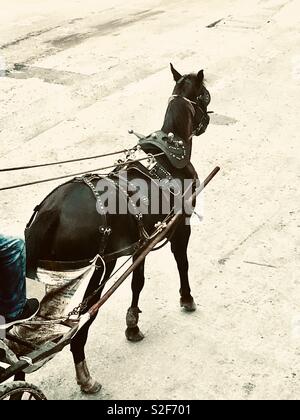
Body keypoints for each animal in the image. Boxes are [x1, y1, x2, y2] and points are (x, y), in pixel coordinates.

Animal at [24, 64, 211, 392]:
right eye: (205, 95)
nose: (209, 119)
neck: (169, 154)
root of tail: (51, 211)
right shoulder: (180, 225)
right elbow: (182, 262)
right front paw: (186, 298)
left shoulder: (142, 240)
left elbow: (138, 281)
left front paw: (133, 323)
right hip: (100, 265)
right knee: (82, 320)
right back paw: (84, 375)